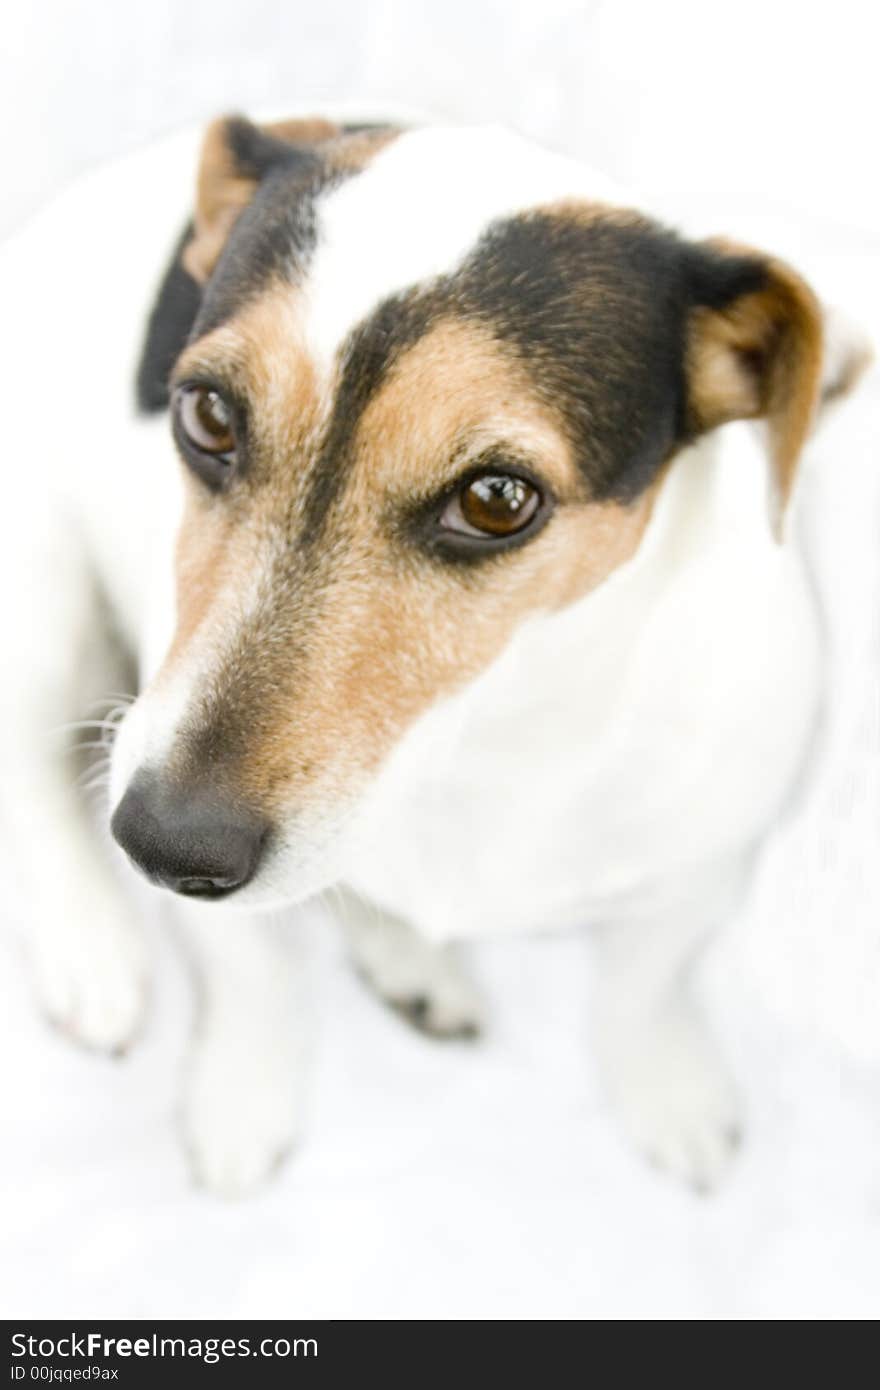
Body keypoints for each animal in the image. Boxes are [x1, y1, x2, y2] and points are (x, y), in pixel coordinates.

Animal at [0, 111, 867, 1195]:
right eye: (205, 413)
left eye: (498, 499)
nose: (166, 844)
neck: (480, 736)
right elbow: (253, 979)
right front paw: (243, 1100)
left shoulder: (702, 869)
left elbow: (647, 987)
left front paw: (670, 1091)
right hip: (41, 595)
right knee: (31, 773)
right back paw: (93, 952)